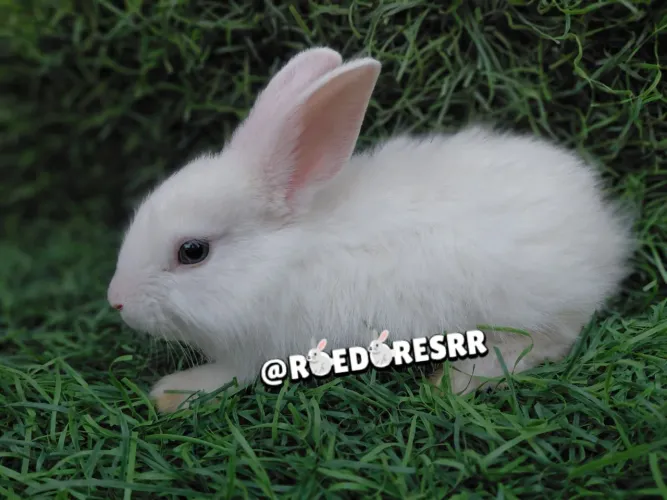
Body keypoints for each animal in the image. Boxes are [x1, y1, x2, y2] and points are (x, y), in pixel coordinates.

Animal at [106, 46, 635, 413]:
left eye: (192, 251)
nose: (116, 301)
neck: (282, 258)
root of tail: (604, 230)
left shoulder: (261, 350)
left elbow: (229, 375)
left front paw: (173, 393)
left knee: (547, 342)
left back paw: (455, 380)